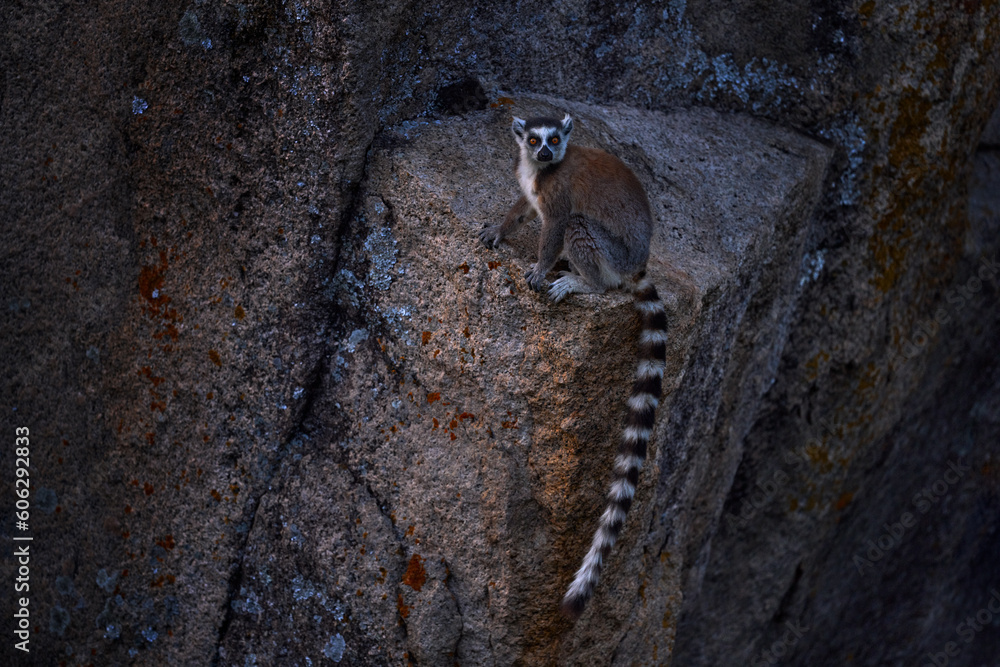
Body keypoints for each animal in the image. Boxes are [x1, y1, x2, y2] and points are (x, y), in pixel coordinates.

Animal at [478, 113, 668, 618]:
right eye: (533, 140)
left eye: (554, 140)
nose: (545, 153)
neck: (540, 171)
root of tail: (638, 262)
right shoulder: (530, 184)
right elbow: (524, 209)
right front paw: (500, 229)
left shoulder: (558, 193)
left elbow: (557, 223)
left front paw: (541, 269)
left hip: (612, 252)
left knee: (582, 232)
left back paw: (582, 281)